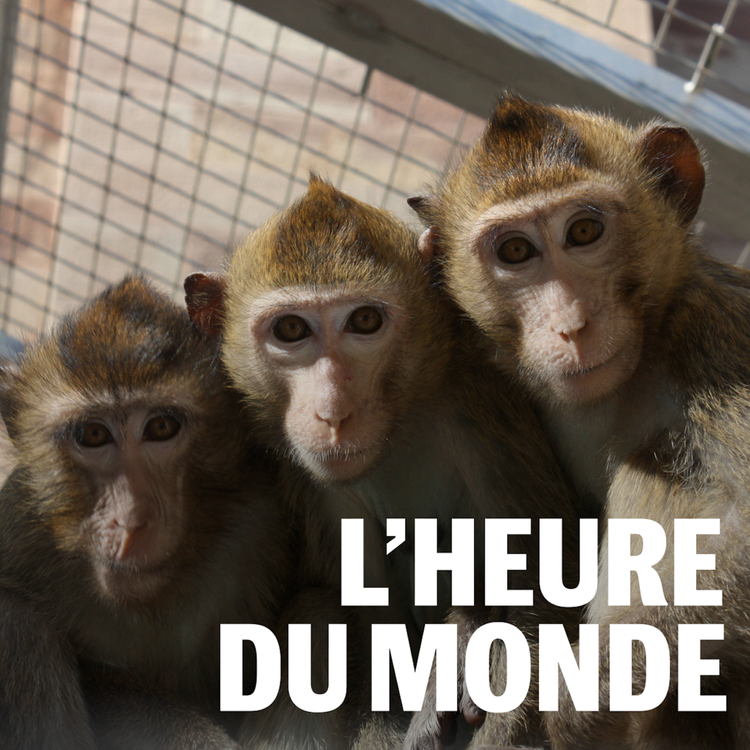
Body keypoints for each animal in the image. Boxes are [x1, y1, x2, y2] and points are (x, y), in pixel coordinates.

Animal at [184, 176, 585, 750]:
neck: (399, 425)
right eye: (290, 330)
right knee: (318, 612)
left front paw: (463, 652)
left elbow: (550, 577)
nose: (333, 413)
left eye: (365, 321)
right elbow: (368, 631)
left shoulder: (479, 404)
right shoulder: (314, 482)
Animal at [408, 92, 750, 749]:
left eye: (585, 231)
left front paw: (565, 694)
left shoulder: (716, 333)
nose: (570, 323)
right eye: (516, 251)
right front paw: (464, 640)